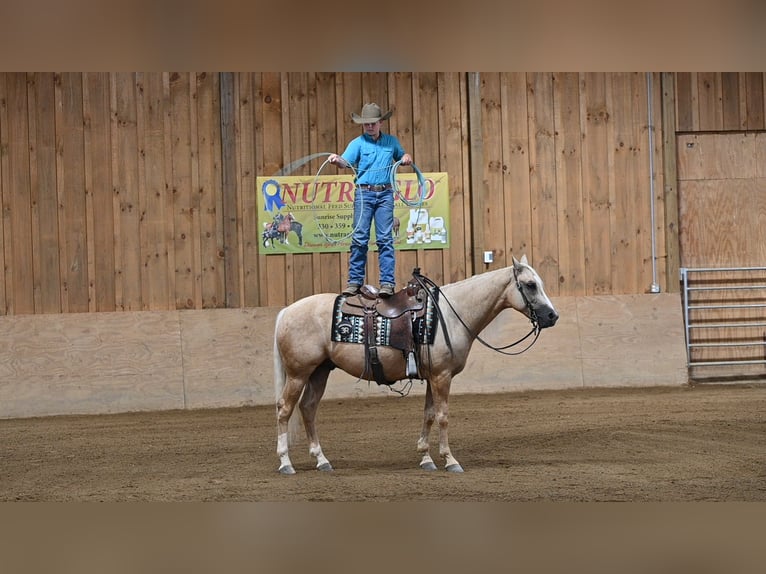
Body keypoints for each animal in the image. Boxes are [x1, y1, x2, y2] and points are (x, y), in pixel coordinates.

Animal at [273, 254, 559, 474]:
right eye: (530, 285)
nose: (552, 316)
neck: (451, 314)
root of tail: (286, 311)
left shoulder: (434, 376)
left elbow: (429, 414)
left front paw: (426, 458)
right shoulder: (442, 376)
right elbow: (443, 416)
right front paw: (450, 460)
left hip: (319, 371)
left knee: (308, 408)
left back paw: (321, 460)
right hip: (298, 373)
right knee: (285, 410)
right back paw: (286, 463)